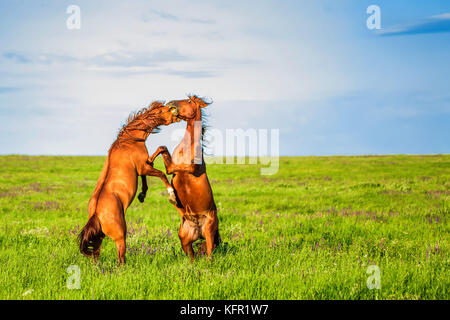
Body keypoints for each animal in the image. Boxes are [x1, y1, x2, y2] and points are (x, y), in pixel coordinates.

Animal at [79, 101, 179, 264]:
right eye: (164, 110)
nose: (176, 111)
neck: (131, 140)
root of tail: (96, 214)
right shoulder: (143, 166)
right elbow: (161, 172)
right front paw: (172, 194)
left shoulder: (142, 168)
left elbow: (150, 169)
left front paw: (142, 195)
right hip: (121, 236)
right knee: (120, 259)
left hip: (98, 239)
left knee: (95, 255)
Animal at [149, 95, 221, 260]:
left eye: (188, 101)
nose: (170, 104)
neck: (187, 147)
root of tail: (198, 229)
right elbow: (162, 148)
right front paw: (149, 160)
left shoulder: (192, 168)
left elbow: (171, 168)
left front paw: (172, 196)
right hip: (184, 239)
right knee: (192, 258)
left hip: (209, 233)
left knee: (209, 255)